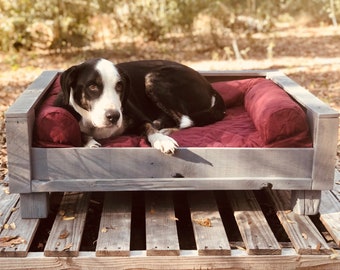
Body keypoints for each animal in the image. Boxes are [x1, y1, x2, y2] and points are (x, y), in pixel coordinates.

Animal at [55, 59, 226, 154]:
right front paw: (90, 142)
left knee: (184, 120)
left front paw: (161, 140)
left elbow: (150, 127)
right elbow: (78, 131)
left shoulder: (140, 117)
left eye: (120, 86)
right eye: (92, 86)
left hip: (153, 77)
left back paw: (165, 130)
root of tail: (209, 86)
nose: (114, 116)